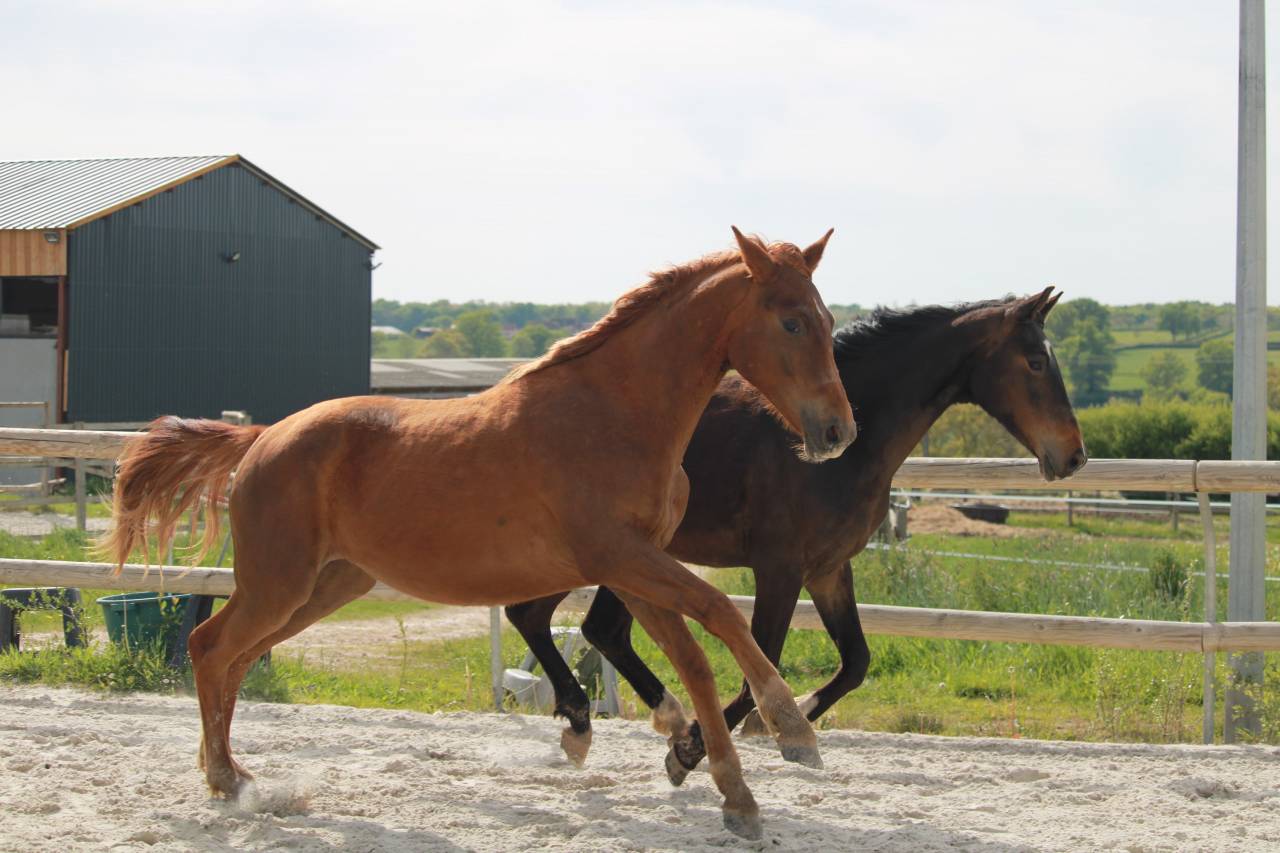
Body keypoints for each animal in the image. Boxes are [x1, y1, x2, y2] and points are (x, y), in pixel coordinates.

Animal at [100, 228, 856, 841]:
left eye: (828, 319)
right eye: (792, 321)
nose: (837, 431)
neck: (614, 414)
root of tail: (262, 437)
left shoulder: (636, 567)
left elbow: (692, 658)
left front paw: (726, 785)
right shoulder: (622, 556)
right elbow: (721, 614)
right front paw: (789, 730)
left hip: (325, 586)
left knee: (229, 657)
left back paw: (229, 775)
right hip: (280, 583)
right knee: (209, 648)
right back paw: (227, 779)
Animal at [504, 287, 1086, 781]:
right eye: (1035, 362)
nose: (1074, 456)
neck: (842, 445)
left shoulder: (828, 569)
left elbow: (854, 662)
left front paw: (782, 721)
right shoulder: (779, 569)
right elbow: (759, 665)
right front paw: (705, 747)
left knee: (565, 622)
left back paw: (597, 721)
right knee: (564, 621)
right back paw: (619, 722)